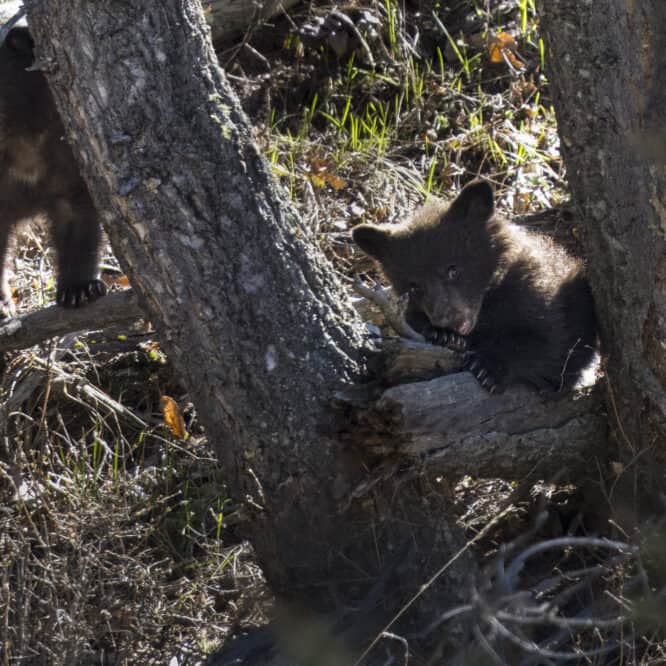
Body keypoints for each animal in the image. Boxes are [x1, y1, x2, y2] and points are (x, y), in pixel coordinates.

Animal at [352, 180, 597, 393]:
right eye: (413, 286)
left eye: (453, 269)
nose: (449, 321)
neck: (488, 301)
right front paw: (442, 335)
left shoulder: (541, 295)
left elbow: (551, 344)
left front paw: (488, 367)